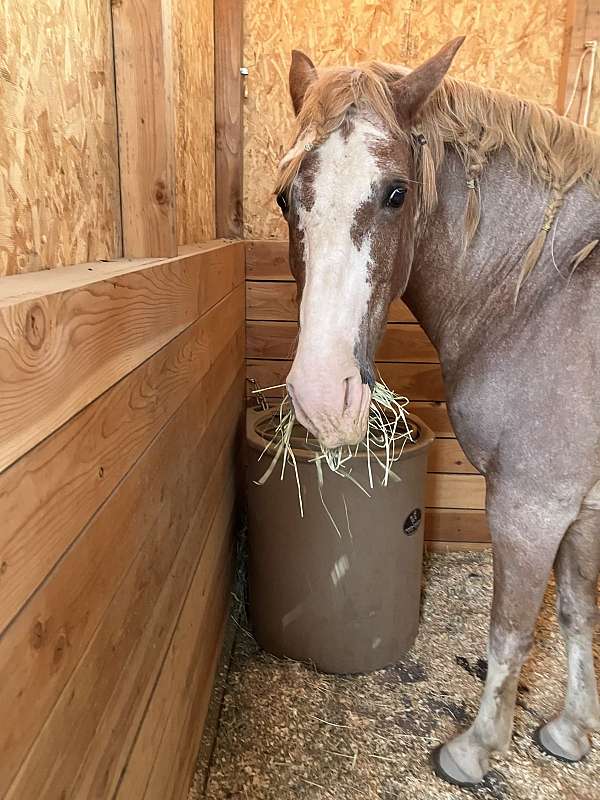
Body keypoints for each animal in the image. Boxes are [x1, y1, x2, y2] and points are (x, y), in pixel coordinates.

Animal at [276, 37, 600, 788]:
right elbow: (577, 611)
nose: (322, 397)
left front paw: (475, 748)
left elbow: (511, 629)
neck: (541, 293)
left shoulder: (533, 502)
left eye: (397, 193)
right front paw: (571, 730)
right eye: (284, 198)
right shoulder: (583, 506)